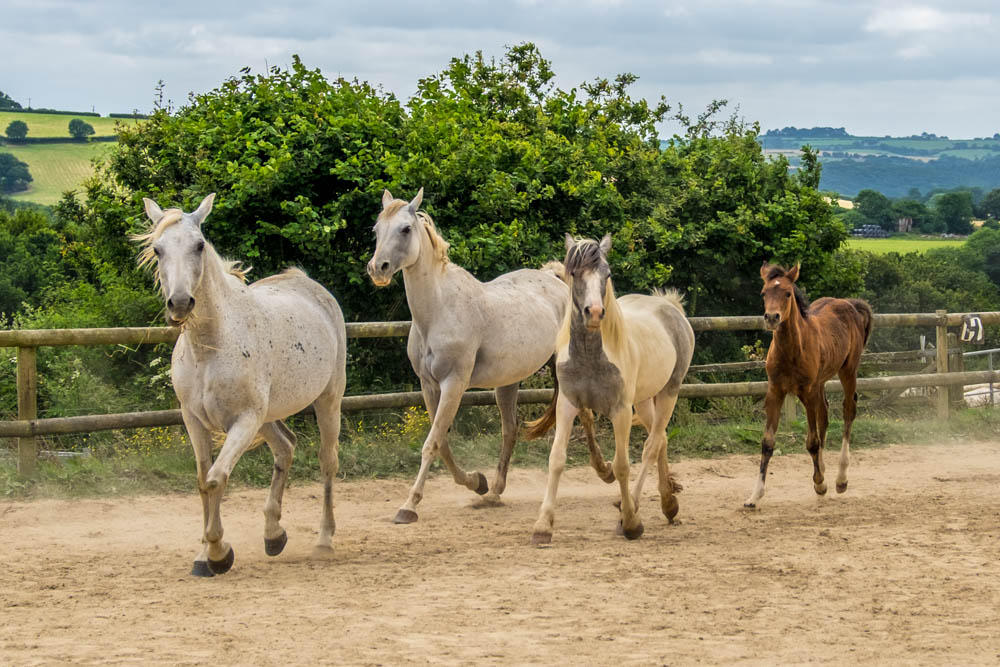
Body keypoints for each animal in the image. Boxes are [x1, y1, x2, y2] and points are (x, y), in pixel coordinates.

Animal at [364, 190, 604, 524]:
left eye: (405, 229)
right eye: (376, 230)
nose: (378, 269)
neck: (438, 310)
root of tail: (555, 279)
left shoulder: (454, 383)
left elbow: (432, 443)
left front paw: (408, 506)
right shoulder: (429, 385)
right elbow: (443, 443)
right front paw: (477, 482)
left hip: (563, 369)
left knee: (586, 415)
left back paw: (606, 472)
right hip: (508, 382)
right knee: (510, 429)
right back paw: (494, 492)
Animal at [532, 235, 696, 544]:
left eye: (607, 275)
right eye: (574, 272)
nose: (595, 313)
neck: (591, 357)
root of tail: (669, 306)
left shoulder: (620, 410)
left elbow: (621, 465)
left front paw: (631, 523)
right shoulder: (568, 404)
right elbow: (557, 459)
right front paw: (542, 525)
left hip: (669, 392)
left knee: (651, 445)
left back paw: (632, 507)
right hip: (644, 399)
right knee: (661, 439)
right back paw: (668, 504)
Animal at [748, 264, 872, 508]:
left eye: (788, 293)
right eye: (763, 293)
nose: (772, 317)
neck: (792, 349)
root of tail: (850, 303)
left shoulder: (807, 392)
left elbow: (812, 441)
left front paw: (820, 484)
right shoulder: (775, 391)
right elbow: (767, 442)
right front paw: (754, 495)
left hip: (848, 370)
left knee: (848, 409)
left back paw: (840, 479)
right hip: (821, 382)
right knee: (824, 414)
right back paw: (823, 470)